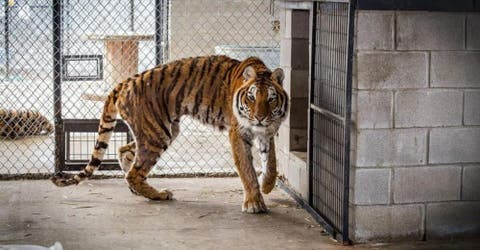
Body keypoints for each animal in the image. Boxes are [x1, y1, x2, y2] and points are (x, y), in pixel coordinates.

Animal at [50, 54, 288, 213]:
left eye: (271, 98)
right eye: (251, 97)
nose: (259, 117)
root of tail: (124, 82)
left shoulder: (268, 131)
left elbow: (272, 162)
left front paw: (267, 185)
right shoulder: (238, 134)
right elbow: (247, 169)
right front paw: (254, 202)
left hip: (162, 130)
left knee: (124, 151)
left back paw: (139, 190)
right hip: (157, 134)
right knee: (133, 172)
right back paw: (159, 195)